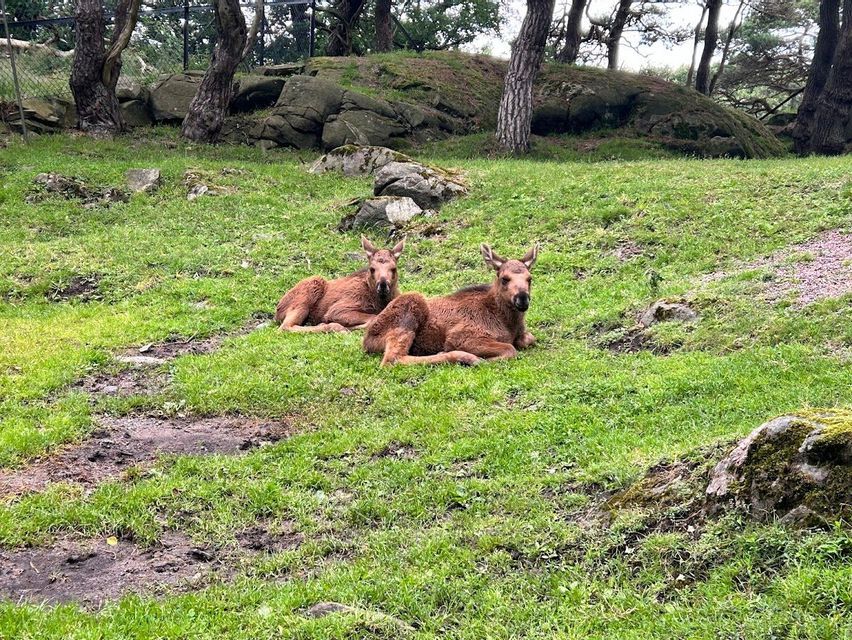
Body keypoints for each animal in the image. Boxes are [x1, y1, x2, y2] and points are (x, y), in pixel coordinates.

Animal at [275, 236, 405, 332]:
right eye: (372, 269)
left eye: (394, 268)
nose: (383, 285)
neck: (380, 301)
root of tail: (277, 311)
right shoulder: (337, 310)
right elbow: (373, 318)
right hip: (310, 288)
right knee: (285, 327)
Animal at [363, 243, 539, 365]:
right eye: (504, 279)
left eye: (529, 278)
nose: (522, 298)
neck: (508, 323)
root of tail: (367, 340)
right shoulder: (461, 337)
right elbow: (510, 349)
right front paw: (486, 360)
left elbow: (529, 338)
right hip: (410, 309)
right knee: (392, 359)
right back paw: (465, 358)